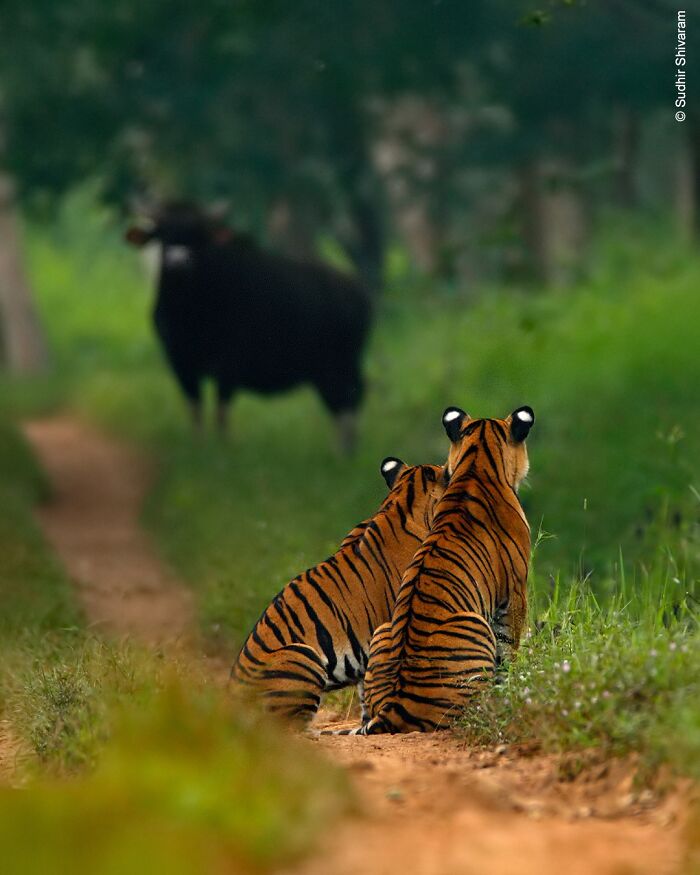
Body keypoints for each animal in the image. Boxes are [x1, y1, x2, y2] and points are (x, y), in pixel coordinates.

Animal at [332, 405, 534, 735]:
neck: (476, 465)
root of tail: (392, 708)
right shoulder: (515, 593)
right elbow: (509, 650)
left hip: (382, 629)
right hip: (473, 622)